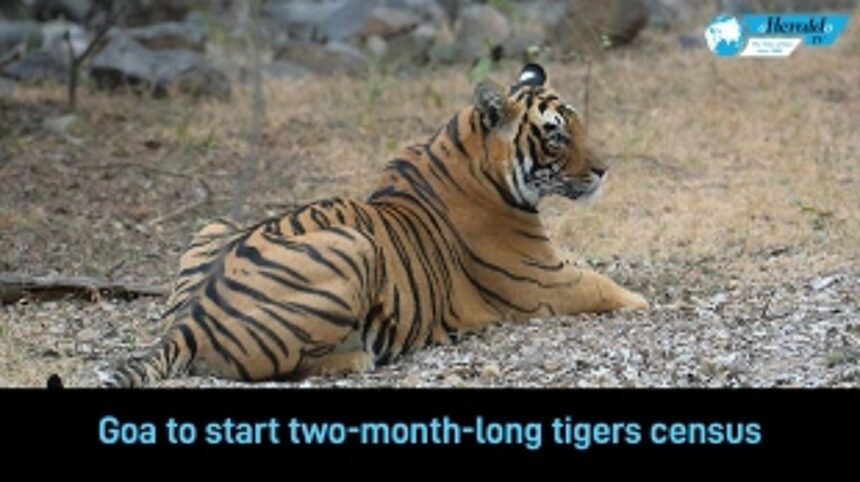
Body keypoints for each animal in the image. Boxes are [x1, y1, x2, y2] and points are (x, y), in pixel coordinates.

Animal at [106, 63, 649, 388]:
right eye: (556, 136)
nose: (605, 169)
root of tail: (186, 324)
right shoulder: (546, 280)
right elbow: (608, 288)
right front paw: (643, 299)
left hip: (213, 226)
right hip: (354, 245)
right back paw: (355, 358)